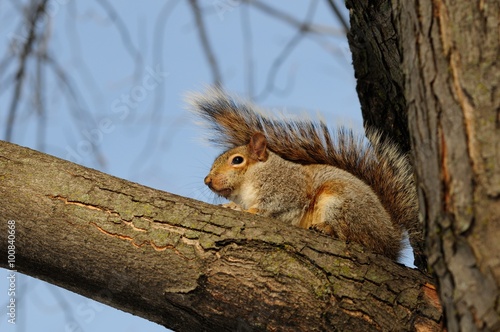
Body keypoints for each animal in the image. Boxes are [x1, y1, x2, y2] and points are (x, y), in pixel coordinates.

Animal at [188, 88, 426, 270]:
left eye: (237, 160)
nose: (207, 180)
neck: (251, 181)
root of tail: (391, 237)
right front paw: (231, 206)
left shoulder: (287, 190)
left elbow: (271, 206)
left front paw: (248, 211)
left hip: (341, 202)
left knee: (357, 237)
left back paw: (326, 229)